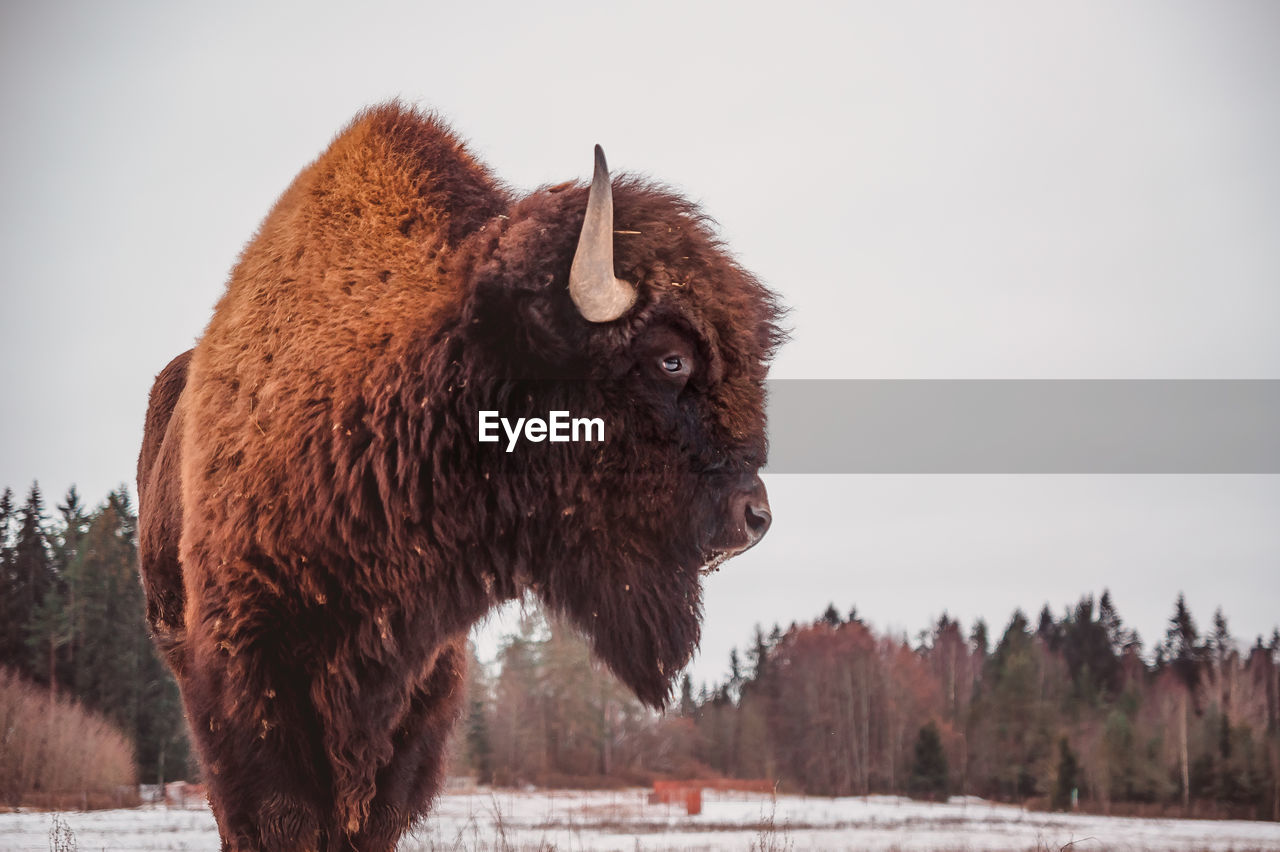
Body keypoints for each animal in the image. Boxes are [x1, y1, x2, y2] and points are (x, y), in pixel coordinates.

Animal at [135, 102, 783, 844]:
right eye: (671, 359)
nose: (754, 517)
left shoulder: (423, 689)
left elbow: (373, 815)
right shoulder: (247, 672)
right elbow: (282, 815)